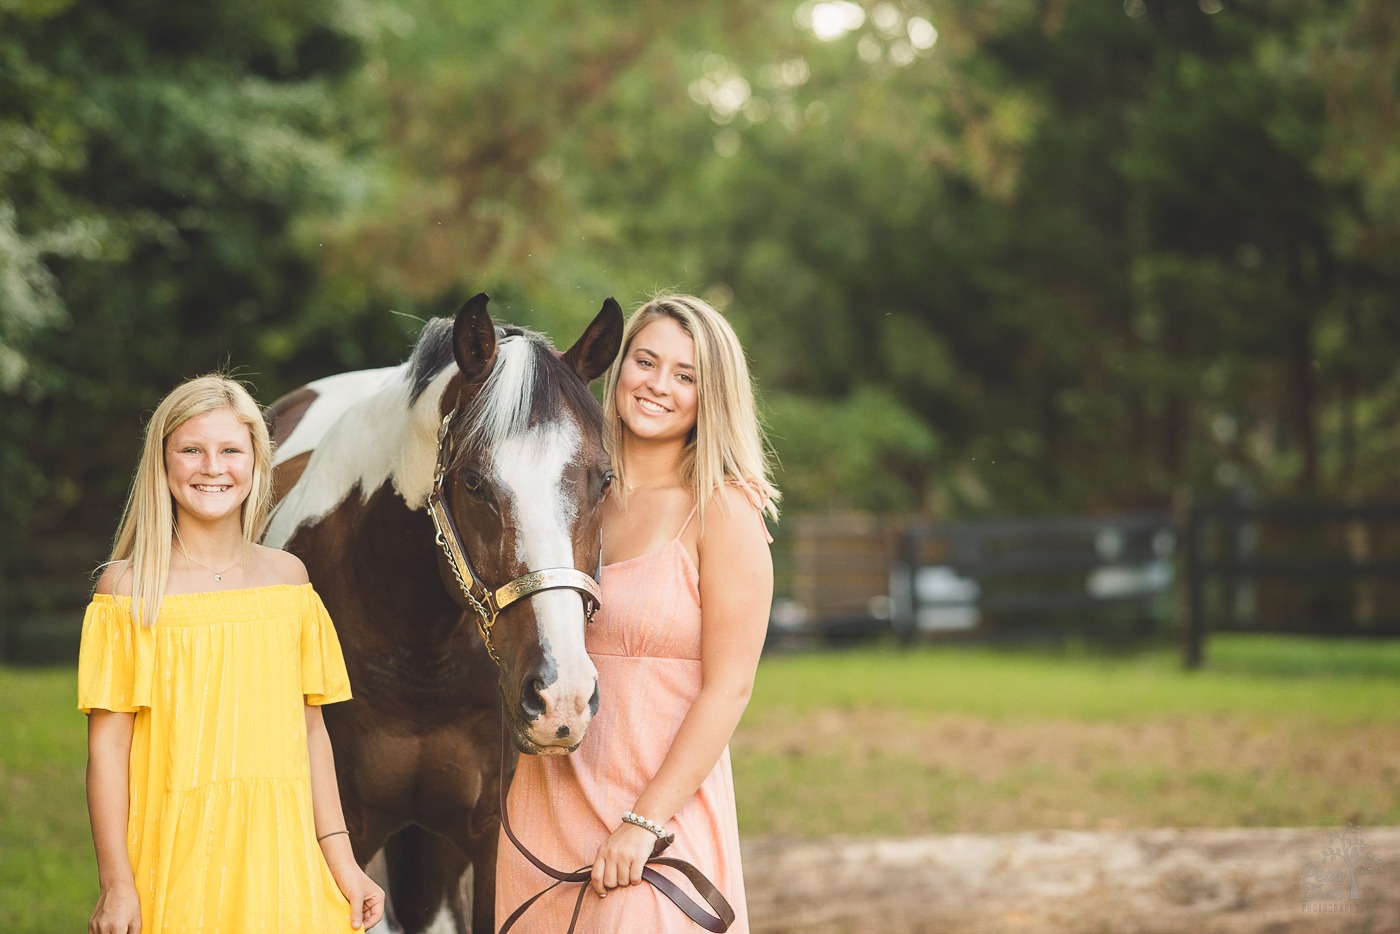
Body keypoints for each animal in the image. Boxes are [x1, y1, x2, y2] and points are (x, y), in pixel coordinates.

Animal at [263, 295, 624, 929]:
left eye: (602, 481)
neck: (421, 661)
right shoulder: (347, 835)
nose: (562, 697)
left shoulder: (491, 842)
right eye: (475, 483)